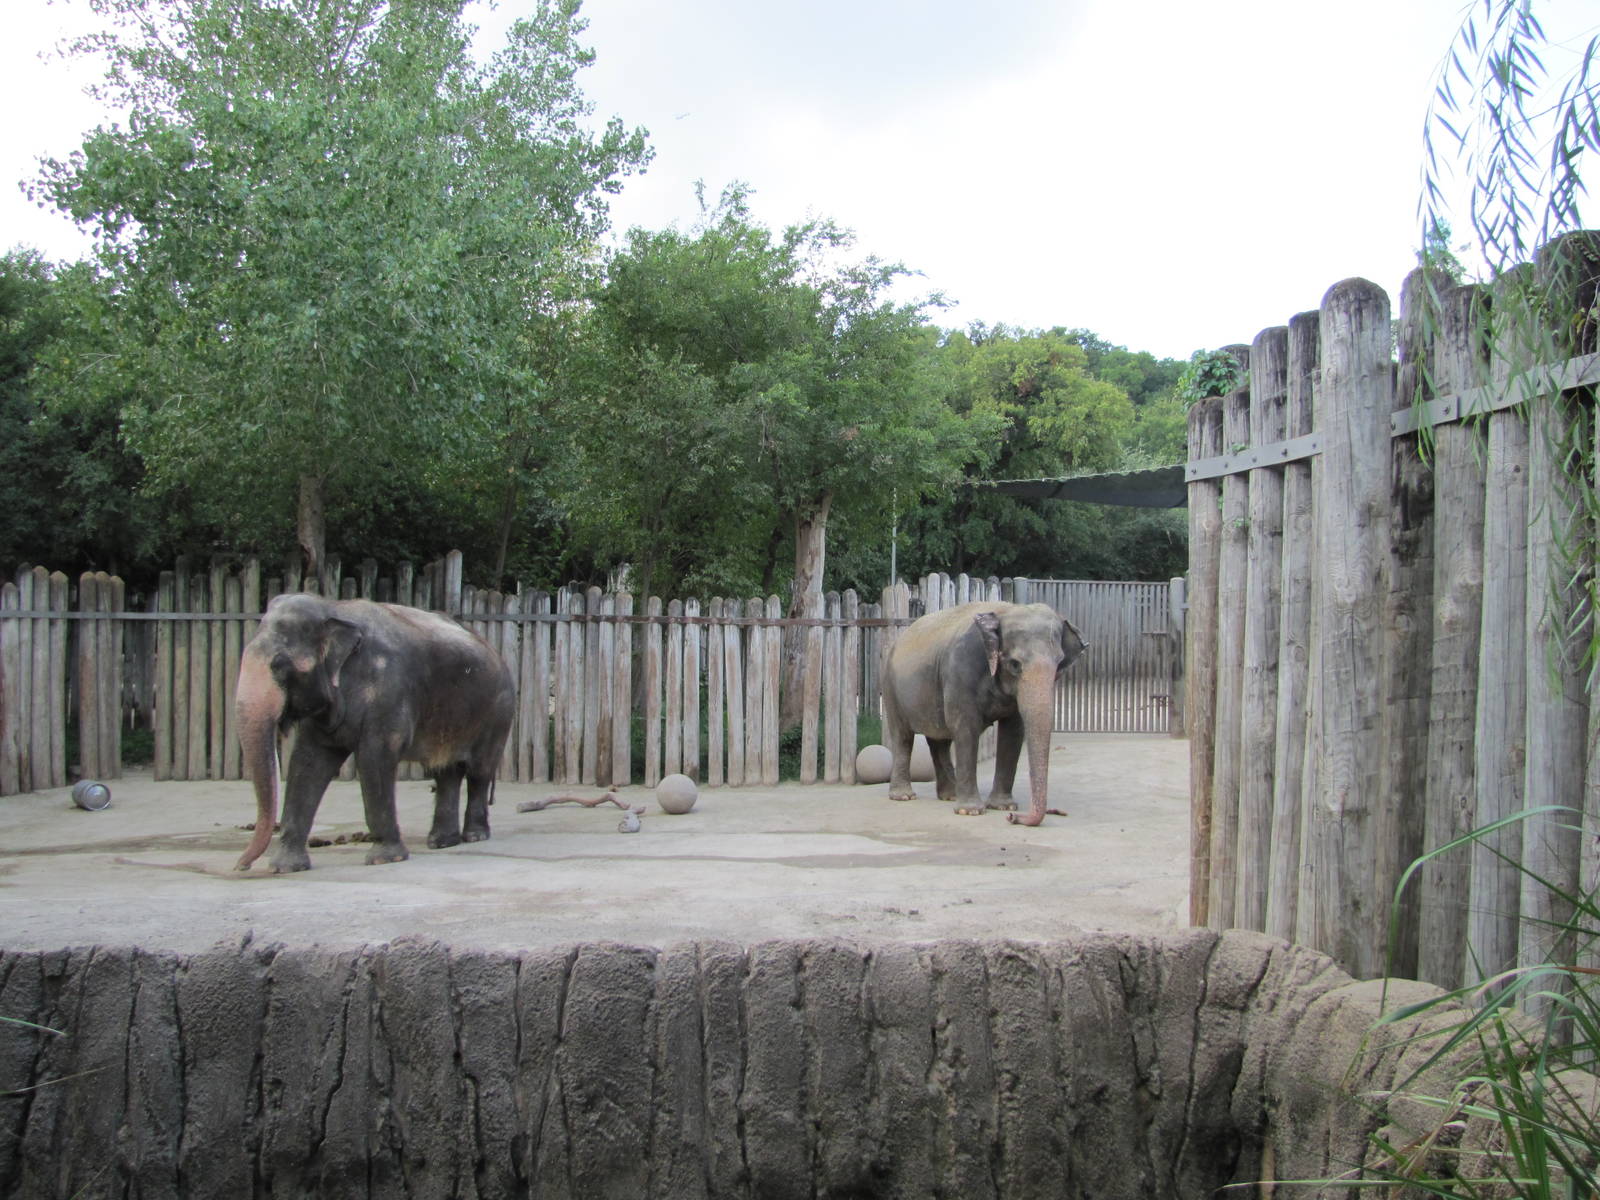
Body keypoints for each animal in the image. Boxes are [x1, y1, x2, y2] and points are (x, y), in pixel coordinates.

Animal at [234, 593, 515, 873]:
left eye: (279, 666)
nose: (241, 866)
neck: (334, 608)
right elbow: (308, 763)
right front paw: (284, 867)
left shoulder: (388, 689)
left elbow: (374, 758)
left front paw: (385, 859)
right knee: (445, 771)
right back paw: (441, 842)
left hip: (497, 712)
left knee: (479, 771)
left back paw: (474, 836)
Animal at [881, 601, 1086, 826]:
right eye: (1015, 664)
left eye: (1059, 664)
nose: (1013, 818)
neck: (1005, 611)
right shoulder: (960, 670)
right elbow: (966, 727)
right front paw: (971, 811)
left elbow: (1013, 732)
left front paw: (1003, 807)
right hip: (891, 688)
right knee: (903, 737)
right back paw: (904, 796)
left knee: (939, 740)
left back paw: (950, 795)